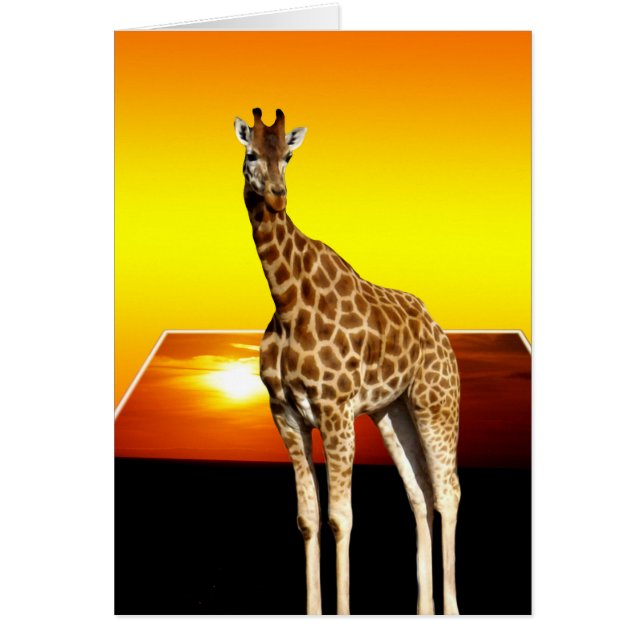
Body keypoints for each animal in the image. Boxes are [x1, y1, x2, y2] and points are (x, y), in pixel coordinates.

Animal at [234, 108, 461, 616]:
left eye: (289, 156)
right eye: (251, 153)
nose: (276, 195)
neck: (287, 299)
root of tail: (440, 331)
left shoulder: (336, 410)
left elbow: (340, 518)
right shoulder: (285, 413)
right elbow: (307, 517)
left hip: (436, 404)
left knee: (448, 490)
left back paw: (452, 610)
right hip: (393, 412)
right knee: (421, 492)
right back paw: (424, 610)